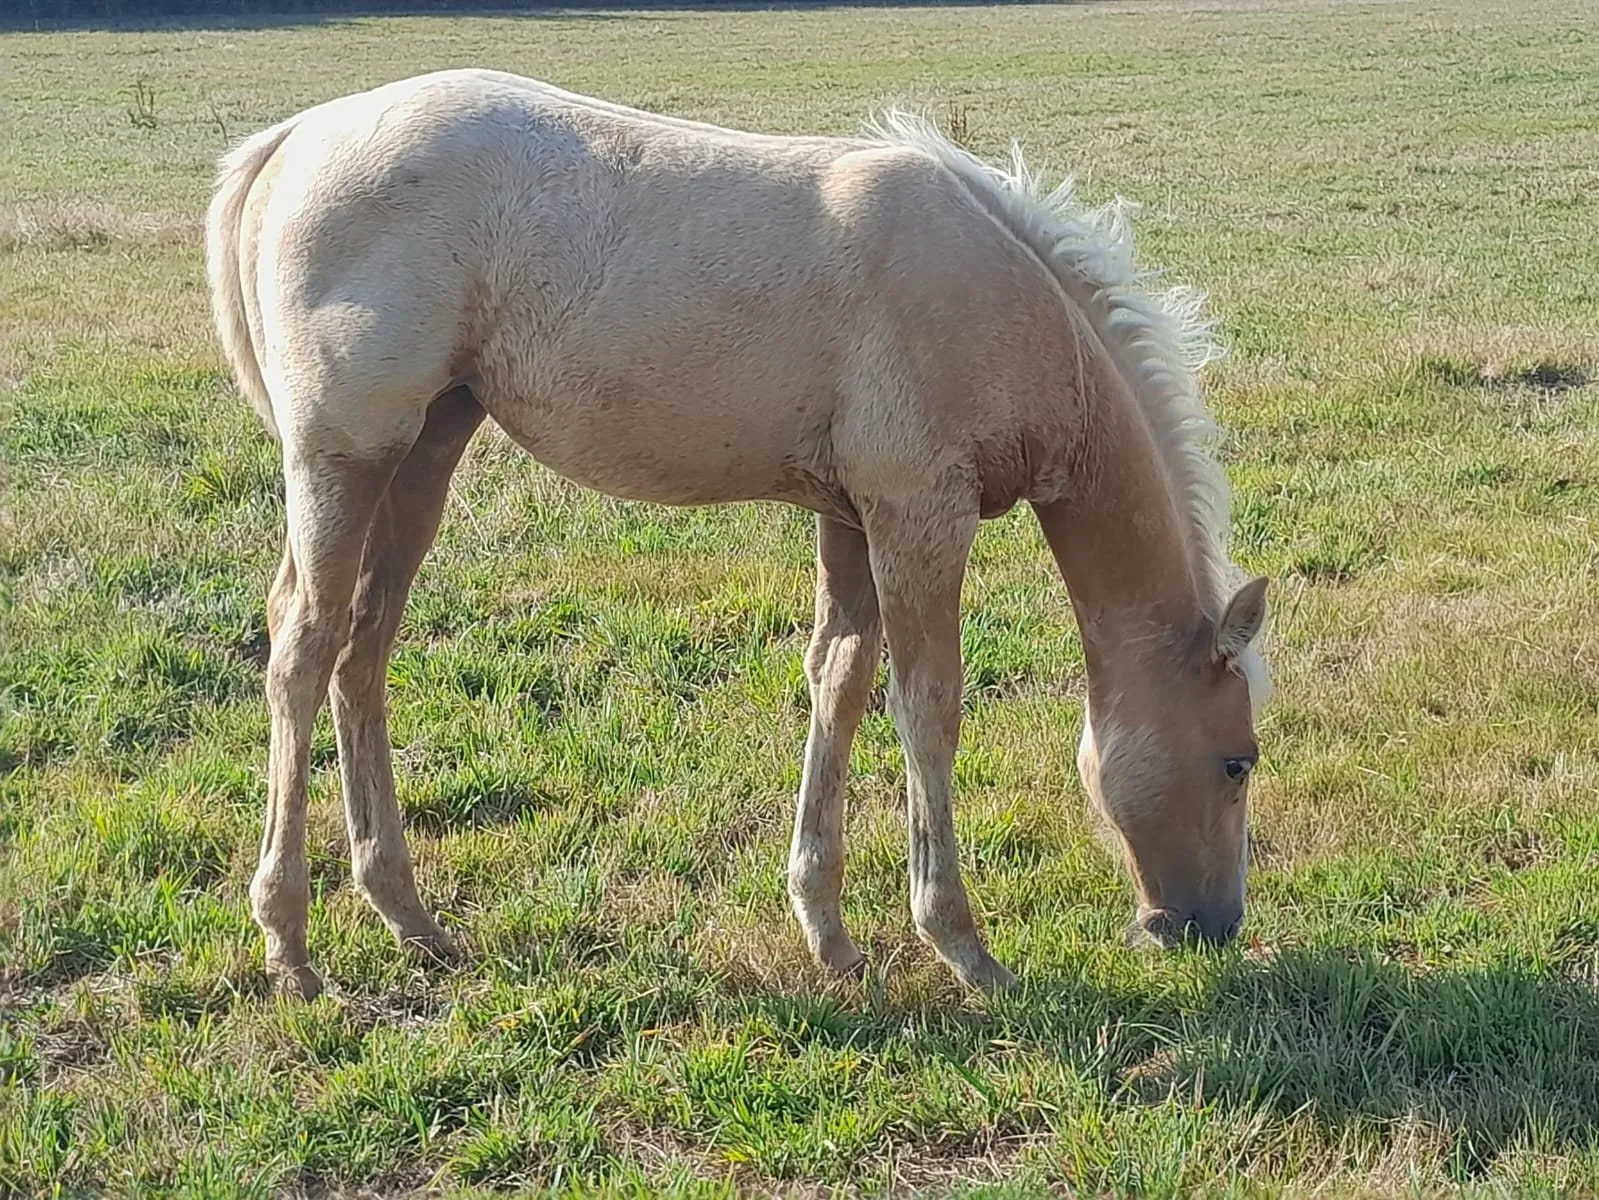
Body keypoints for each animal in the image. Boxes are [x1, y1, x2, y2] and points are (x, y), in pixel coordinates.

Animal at [205, 69, 1271, 999]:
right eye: (1237, 761)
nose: (1209, 929)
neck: (1001, 301)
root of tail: (294, 137)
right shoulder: (919, 512)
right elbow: (928, 709)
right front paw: (962, 948)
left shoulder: (849, 515)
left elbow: (838, 681)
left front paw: (829, 935)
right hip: (345, 456)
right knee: (303, 647)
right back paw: (290, 946)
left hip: (426, 449)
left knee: (364, 647)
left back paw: (407, 916)